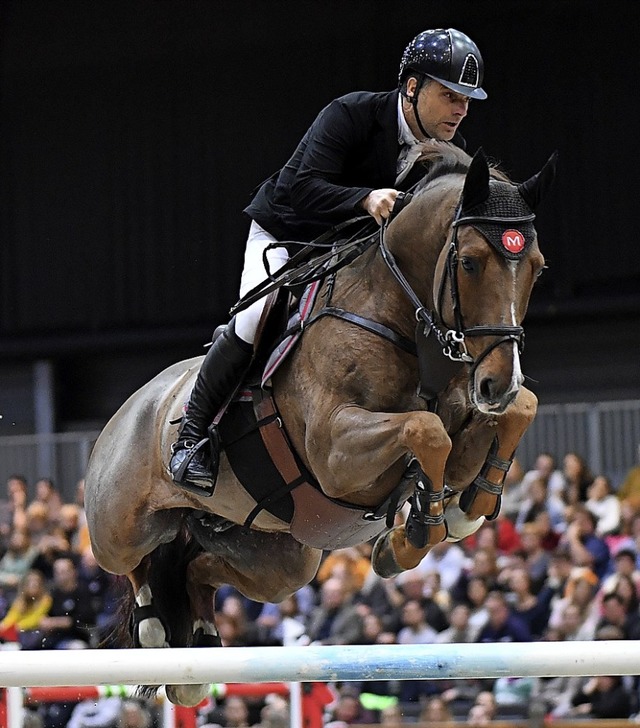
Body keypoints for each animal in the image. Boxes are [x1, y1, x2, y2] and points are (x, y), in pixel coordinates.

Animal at [85, 142, 556, 704]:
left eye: (537, 268)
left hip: (283, 557)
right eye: (469, 262)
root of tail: (127, 410)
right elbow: (426, 429)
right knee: (137, 563)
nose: (498, 383)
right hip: (121, 528)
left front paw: (454, 514)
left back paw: (197, 645)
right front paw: (422, 527)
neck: (399, 315)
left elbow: (514, 413)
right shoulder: (336, 453)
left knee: (198, 567)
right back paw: (156, 626)